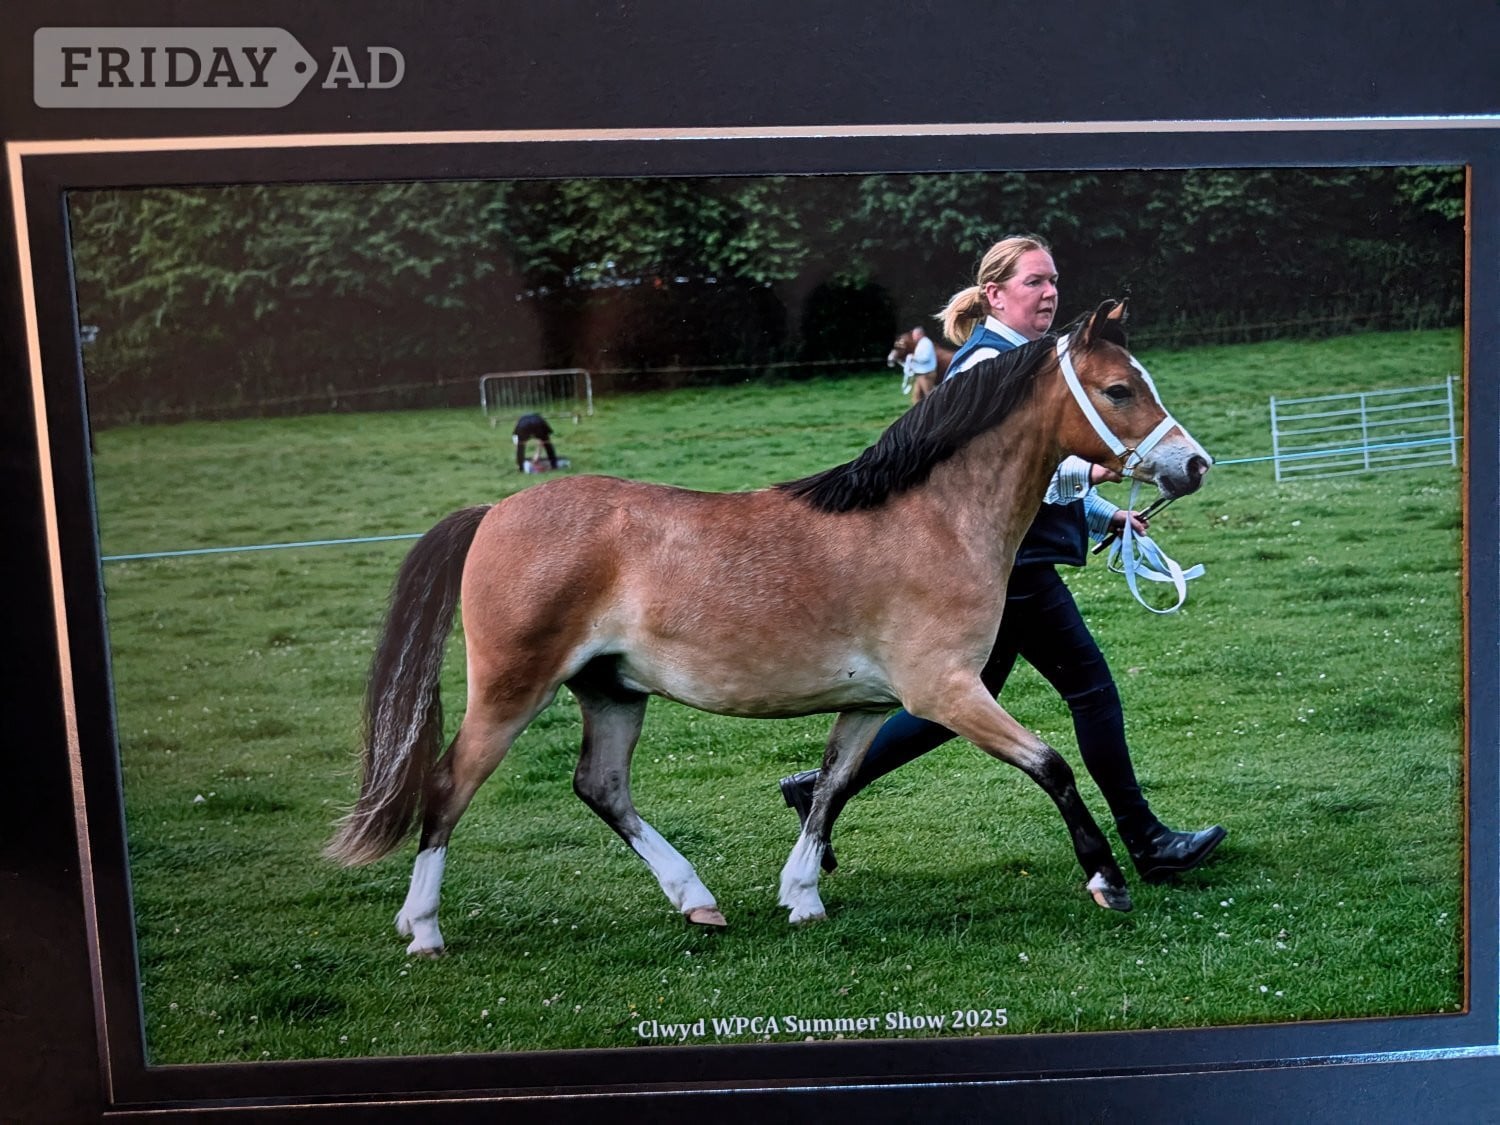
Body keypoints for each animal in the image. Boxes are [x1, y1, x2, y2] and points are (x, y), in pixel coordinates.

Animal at [327, 300, 1211, 955]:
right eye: (1119, 388)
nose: (1195, 464)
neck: (931, 517)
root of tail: (492, 513)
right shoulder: (946, 692)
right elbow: (1053, 763)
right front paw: (1108, 878)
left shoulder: (868, 704)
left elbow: (831, 787)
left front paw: (802, 894)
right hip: (511, 688)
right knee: (448, 786)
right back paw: (424, 929)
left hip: (611, 691)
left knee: (601, 787)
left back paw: (696, 899)